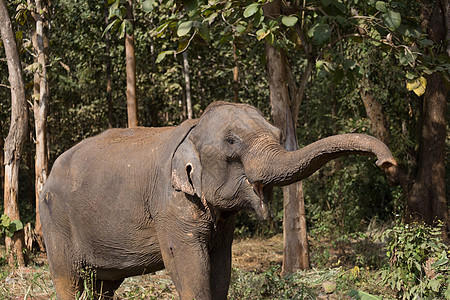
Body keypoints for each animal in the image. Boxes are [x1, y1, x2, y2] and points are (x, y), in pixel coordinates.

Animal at [39, 101, 398, 300]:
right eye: (232, 142)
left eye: (278, 134)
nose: (388, 164)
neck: (191, 129)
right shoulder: (170, 207)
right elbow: (188, 265)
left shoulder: (222, 222)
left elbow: (221, 266)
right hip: (56, 224)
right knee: (69, 280)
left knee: (103, 286)